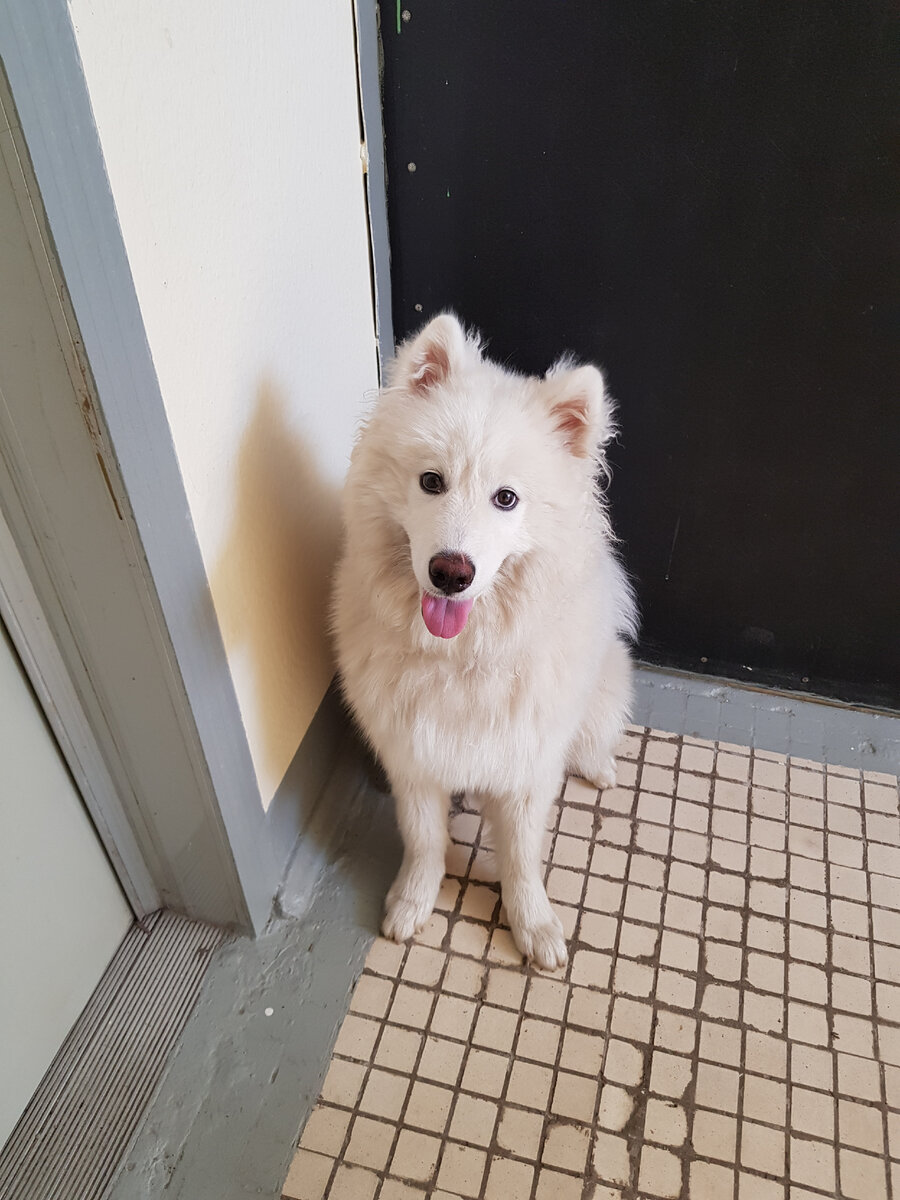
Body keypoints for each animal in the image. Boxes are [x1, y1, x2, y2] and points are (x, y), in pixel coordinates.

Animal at [332, 313, 636, 969]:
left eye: (506, 498)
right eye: (431, 481)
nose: (451, 572)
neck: (462, 658)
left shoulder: (527, 769)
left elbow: (521, 859)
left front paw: (535, 926)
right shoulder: (413, 759)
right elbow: (423, 841)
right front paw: (413, 901)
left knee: (595, 735)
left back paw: (599, 767)